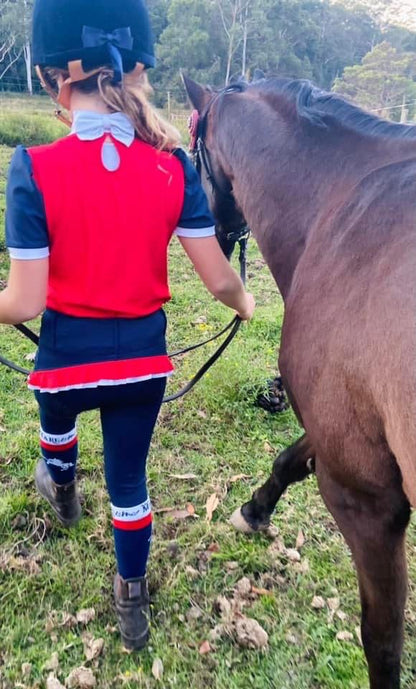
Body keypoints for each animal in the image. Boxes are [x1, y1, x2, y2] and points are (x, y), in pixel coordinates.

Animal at [183, 74, 416, 689]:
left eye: (190, 159)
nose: (208, 240)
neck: (343, 206)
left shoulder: (366, 496)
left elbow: (382, 639)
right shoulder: (344, 433)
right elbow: (289, 459)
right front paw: (254, 510)